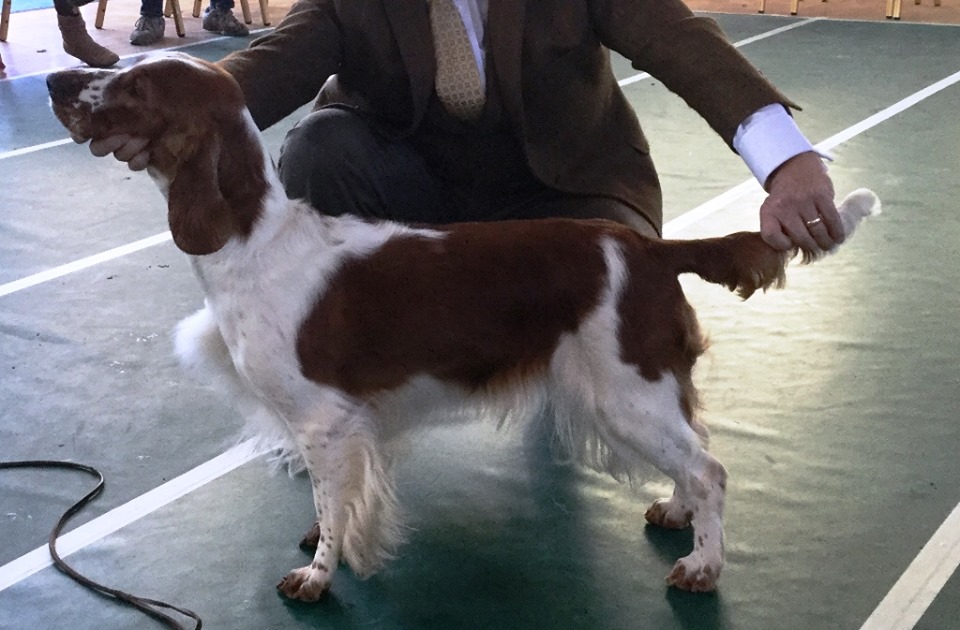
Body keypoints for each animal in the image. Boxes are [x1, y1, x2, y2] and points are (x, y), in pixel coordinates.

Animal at [47, 52, 879, 600]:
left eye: (138, 85)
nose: (55, 79)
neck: (253, 240)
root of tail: (647, 247)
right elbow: (333, 502)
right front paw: (324, 544)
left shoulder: (324, 421)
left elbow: (329, 504)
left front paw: (318, 574)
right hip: (636, 390)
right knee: (694, 450)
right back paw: (676, 510)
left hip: (624, 389)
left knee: (711, 467)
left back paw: (703, 566)